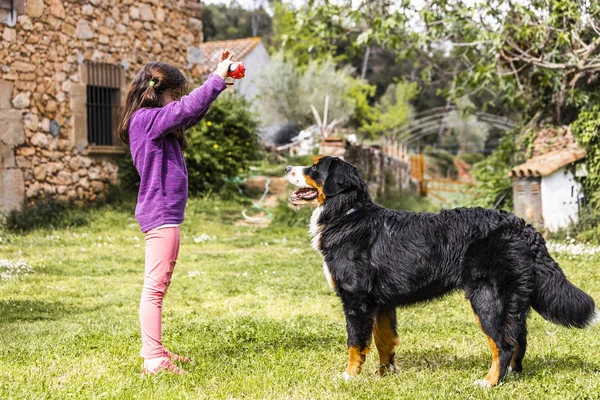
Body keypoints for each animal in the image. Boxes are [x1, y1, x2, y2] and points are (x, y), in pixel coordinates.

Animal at [284, 155, 596, 386]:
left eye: (314, 167)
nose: (287, 168)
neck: (347, 214)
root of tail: (522, 226)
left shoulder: (356, 300)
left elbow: (355, 344)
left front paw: (349, 377)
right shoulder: (381, 303)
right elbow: (384, 341)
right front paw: (384, 375)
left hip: (486, 297)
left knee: (503, 343)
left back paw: (489, 382)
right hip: (511, 301)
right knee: (518, 340)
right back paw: (510, 378)